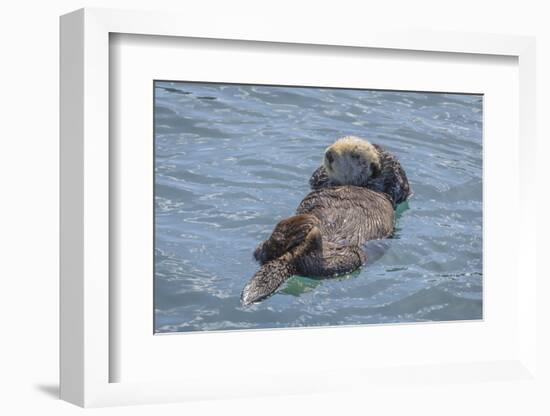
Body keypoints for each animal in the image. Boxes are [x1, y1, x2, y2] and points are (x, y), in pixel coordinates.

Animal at [242, 136, 410, 306]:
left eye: (355, 155)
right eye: (336, 142)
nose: (330, 154)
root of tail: (292, 257)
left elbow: (399, 183)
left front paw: (381, 160)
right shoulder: (319, 181)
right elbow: (317, 176)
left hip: (348, 259)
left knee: (316, 264)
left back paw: (308, 233)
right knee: (262, 252)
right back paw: (298, 226)